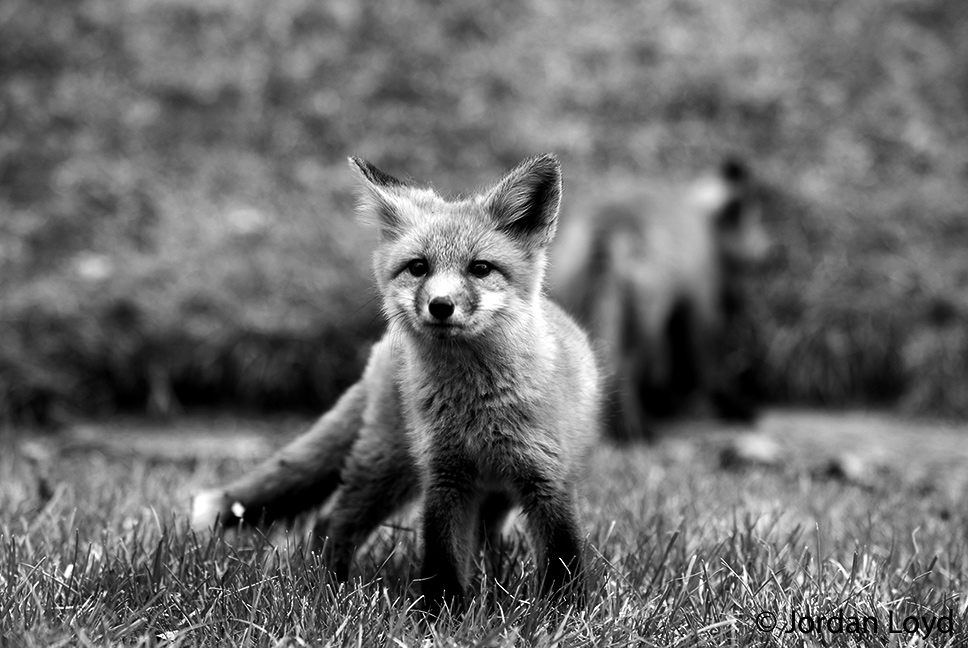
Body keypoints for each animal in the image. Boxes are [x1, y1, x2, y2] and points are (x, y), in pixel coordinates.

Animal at [191, 154, 601, 613]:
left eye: (480, 269)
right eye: (418, 267)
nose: (441, 306)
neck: (476, 403)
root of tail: (381, 350)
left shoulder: (547, 479)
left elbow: (564, 557)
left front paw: (565, 613)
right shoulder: (443, 476)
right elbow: (441, 559)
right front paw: (443, 616)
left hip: (486, 493)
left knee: (483, 540)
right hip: (387, 467)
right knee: (331, 521)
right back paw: (327, 589)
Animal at [550, 159, 770, 441]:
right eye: (757, 222)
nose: (772, 250)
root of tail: (610, 226)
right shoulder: (700, 305)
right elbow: (707, 366)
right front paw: (736, 407)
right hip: (643, 320)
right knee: (624, 366)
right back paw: (633, 429)